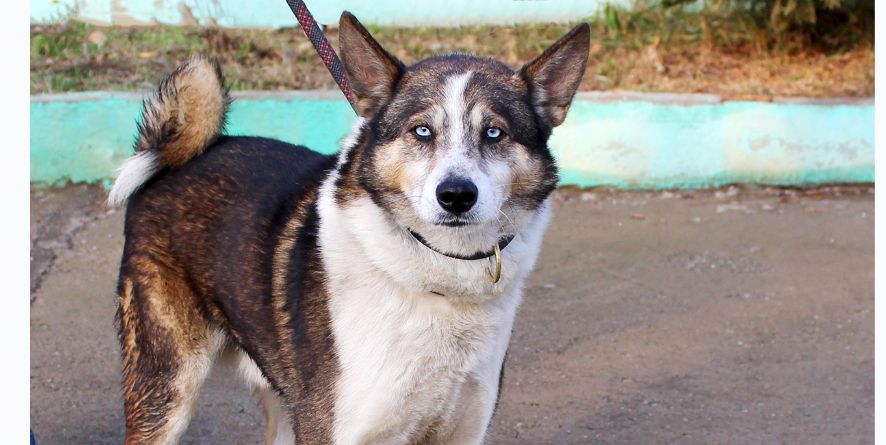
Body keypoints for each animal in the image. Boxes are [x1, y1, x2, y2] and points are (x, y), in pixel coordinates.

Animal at [107, 13, 588, 444]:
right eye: (421, 131)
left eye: (494, 133)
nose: (455, 195)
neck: (436, 270)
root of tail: (175, 161)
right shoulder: (335, 430)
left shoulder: (462, 431)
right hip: (167, 387)